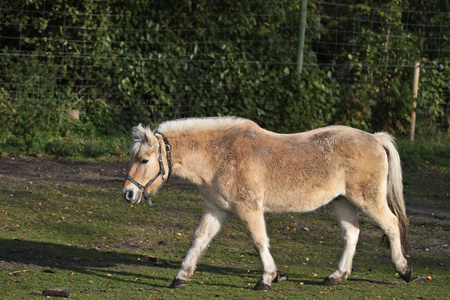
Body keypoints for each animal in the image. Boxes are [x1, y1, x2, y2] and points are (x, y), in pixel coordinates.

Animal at [121, 116, 414, 290]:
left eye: (144, 160)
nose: (128, 194)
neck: (220, 155)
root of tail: (375, 138)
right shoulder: (216, 210)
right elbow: (199, 239)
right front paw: (181, 276)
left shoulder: (249, 208)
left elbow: (259, 241)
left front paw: (267, 278)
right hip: (343, 201)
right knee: (351, 234)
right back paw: (336, 276)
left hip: (367, 199)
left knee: (391, 224)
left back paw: (404, 270)